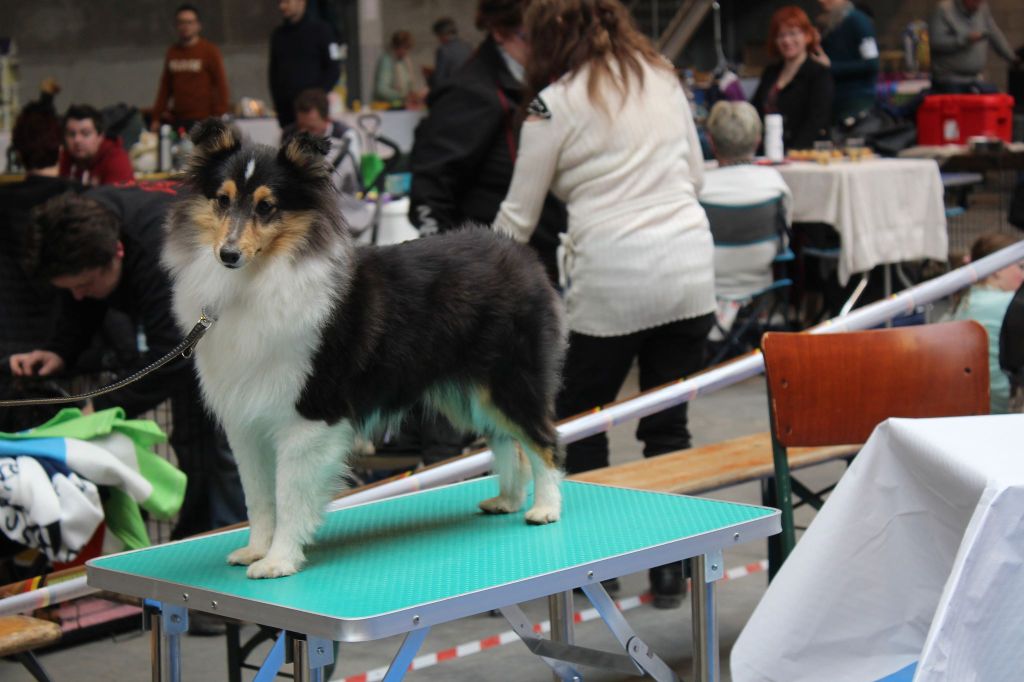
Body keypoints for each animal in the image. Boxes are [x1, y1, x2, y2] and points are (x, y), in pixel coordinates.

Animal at [163, 119, 573, 577]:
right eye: (222, 200)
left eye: (267, 207)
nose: (228, 254)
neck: (262, 276)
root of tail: (521, 254)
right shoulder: (246, 423)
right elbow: (258, 498)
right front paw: (255, 550)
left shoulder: (308, 416)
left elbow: (289, 496)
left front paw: (279, 560)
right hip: (468, 393)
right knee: (506, 442)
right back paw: (507, 500)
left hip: (511, 381)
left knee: (544, 440)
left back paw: (544, 508)